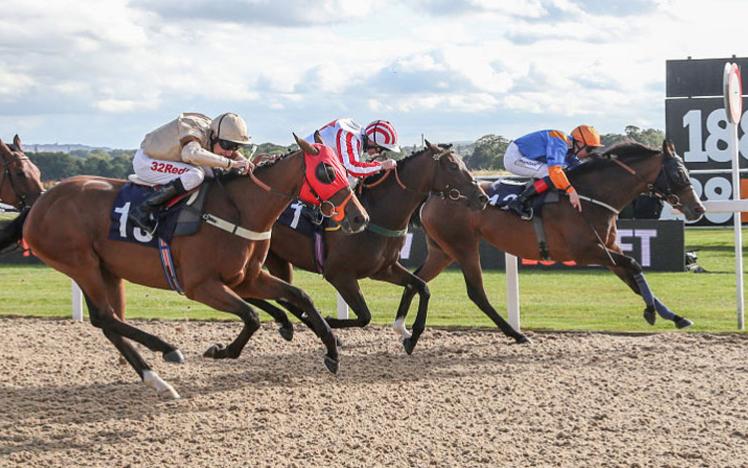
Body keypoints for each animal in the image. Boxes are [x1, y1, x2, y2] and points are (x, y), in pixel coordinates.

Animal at [0, 135, 368, 398]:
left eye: (343, 168)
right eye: (326, 171)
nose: (359, 218)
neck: (239, 209)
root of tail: (39, 204)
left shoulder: (247, 278)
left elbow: (300, 296)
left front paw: (332, 351)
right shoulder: (200, 285)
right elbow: (251, 316)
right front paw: (222, 351)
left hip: (106, 270)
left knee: (110, 322)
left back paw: (157, 379)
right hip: (81, 264)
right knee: (105, 317)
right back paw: (168, 350)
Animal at [248, 141, 488, 342]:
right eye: (452, 166)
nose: (482, 197)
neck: (376, 214)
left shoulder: (383, 269)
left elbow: (422, 287)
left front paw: (410, 335)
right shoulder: (339, 274)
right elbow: (365, 316)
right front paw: (330, 322)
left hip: (277, 259)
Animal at [398, 141, 708, 352]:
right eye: (678, 174)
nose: (698, 209)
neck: (591, 196)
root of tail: (433, 195)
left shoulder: (608, 251)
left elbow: (635, 277)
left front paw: (675, 316)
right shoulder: (587, 252)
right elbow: (633, 266)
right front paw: (651, 313)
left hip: (442, 250)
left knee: (416, 280)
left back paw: (402, 327)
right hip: (463, 246)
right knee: (476, 293)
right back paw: (516, 334)